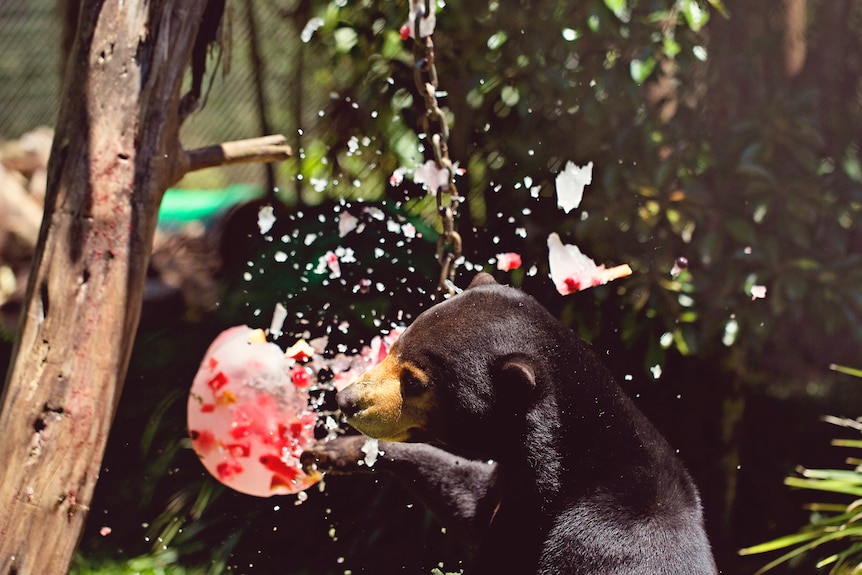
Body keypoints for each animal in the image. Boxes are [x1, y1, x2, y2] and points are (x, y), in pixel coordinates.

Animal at [300, 274, 720, 575]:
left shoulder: (576, 532)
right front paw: (331, 451)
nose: (347, 400)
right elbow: (472, 500)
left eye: (414, 383)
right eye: (394, 348)